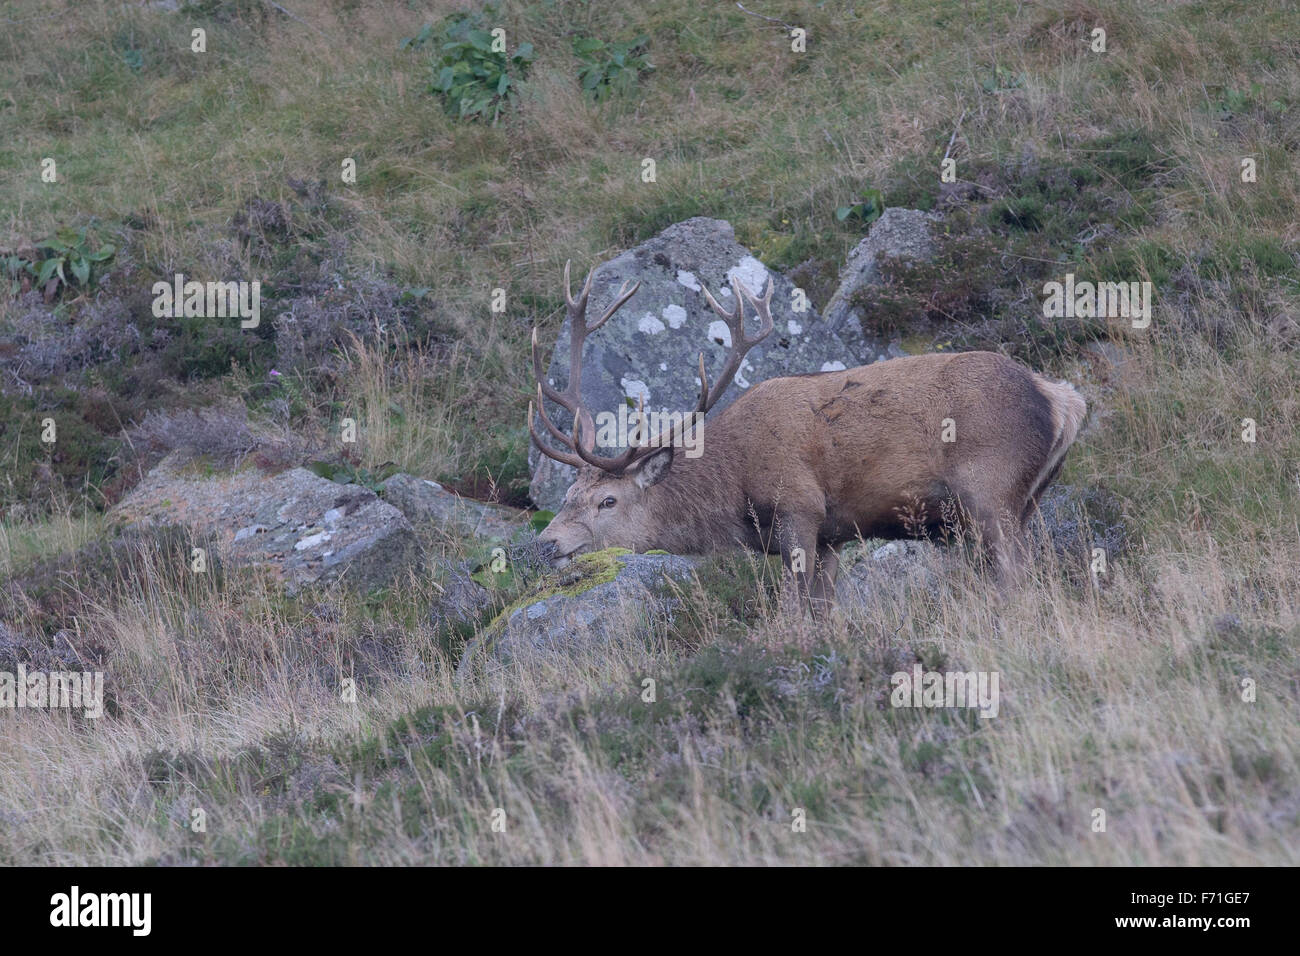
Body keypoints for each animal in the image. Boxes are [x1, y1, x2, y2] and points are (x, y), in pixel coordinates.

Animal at [528, 261, 1087, 608]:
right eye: (568, 495)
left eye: (607, 501)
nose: (545, 544)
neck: (733, 491)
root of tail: (1062, 398)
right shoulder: (836, 533)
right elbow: (824, 611)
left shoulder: (798, 509)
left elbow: (794, 610)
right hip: (1025, 500)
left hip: (991, 488)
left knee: (1017, 576)